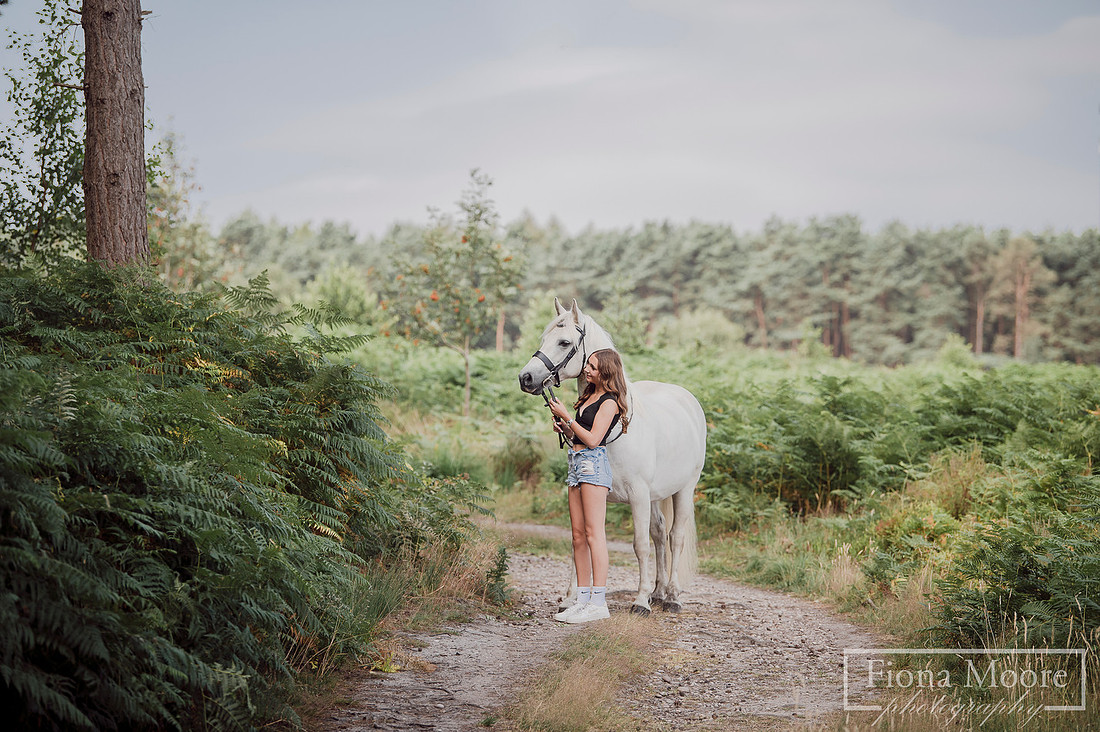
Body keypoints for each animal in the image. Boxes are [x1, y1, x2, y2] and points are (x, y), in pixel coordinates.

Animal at [518, 298, 707, 615]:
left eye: (564, 341)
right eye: (543, 339)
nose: (526, 378)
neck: (617, 427)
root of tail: (689, 401)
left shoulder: (639, 495)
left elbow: (640, 545)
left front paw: (640, 601)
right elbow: (581, 543)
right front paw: (570, 598)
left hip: (684, 489)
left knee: (674, 538)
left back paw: (671, 596)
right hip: (657, 496)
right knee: (659, 534)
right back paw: (658, 592)